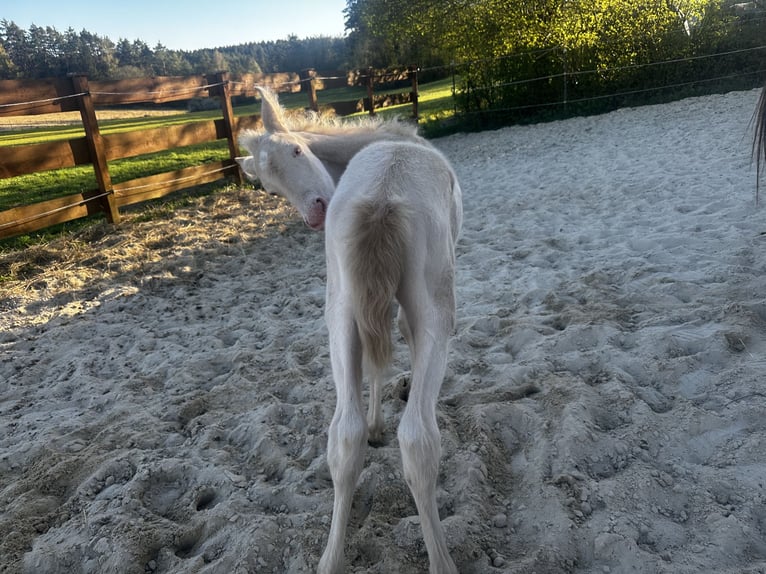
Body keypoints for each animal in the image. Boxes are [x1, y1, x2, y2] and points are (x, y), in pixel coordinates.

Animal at [236, 88, 462, 574]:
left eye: (297, 151)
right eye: (269, 186)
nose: (315, 213)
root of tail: (382, 195)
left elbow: (377, 356)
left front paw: (376, 423)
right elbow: (400, 334)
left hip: (339, 308)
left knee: (344, 435)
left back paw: (331, 559)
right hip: (438, 305)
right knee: (418, 437)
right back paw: (441, 560)